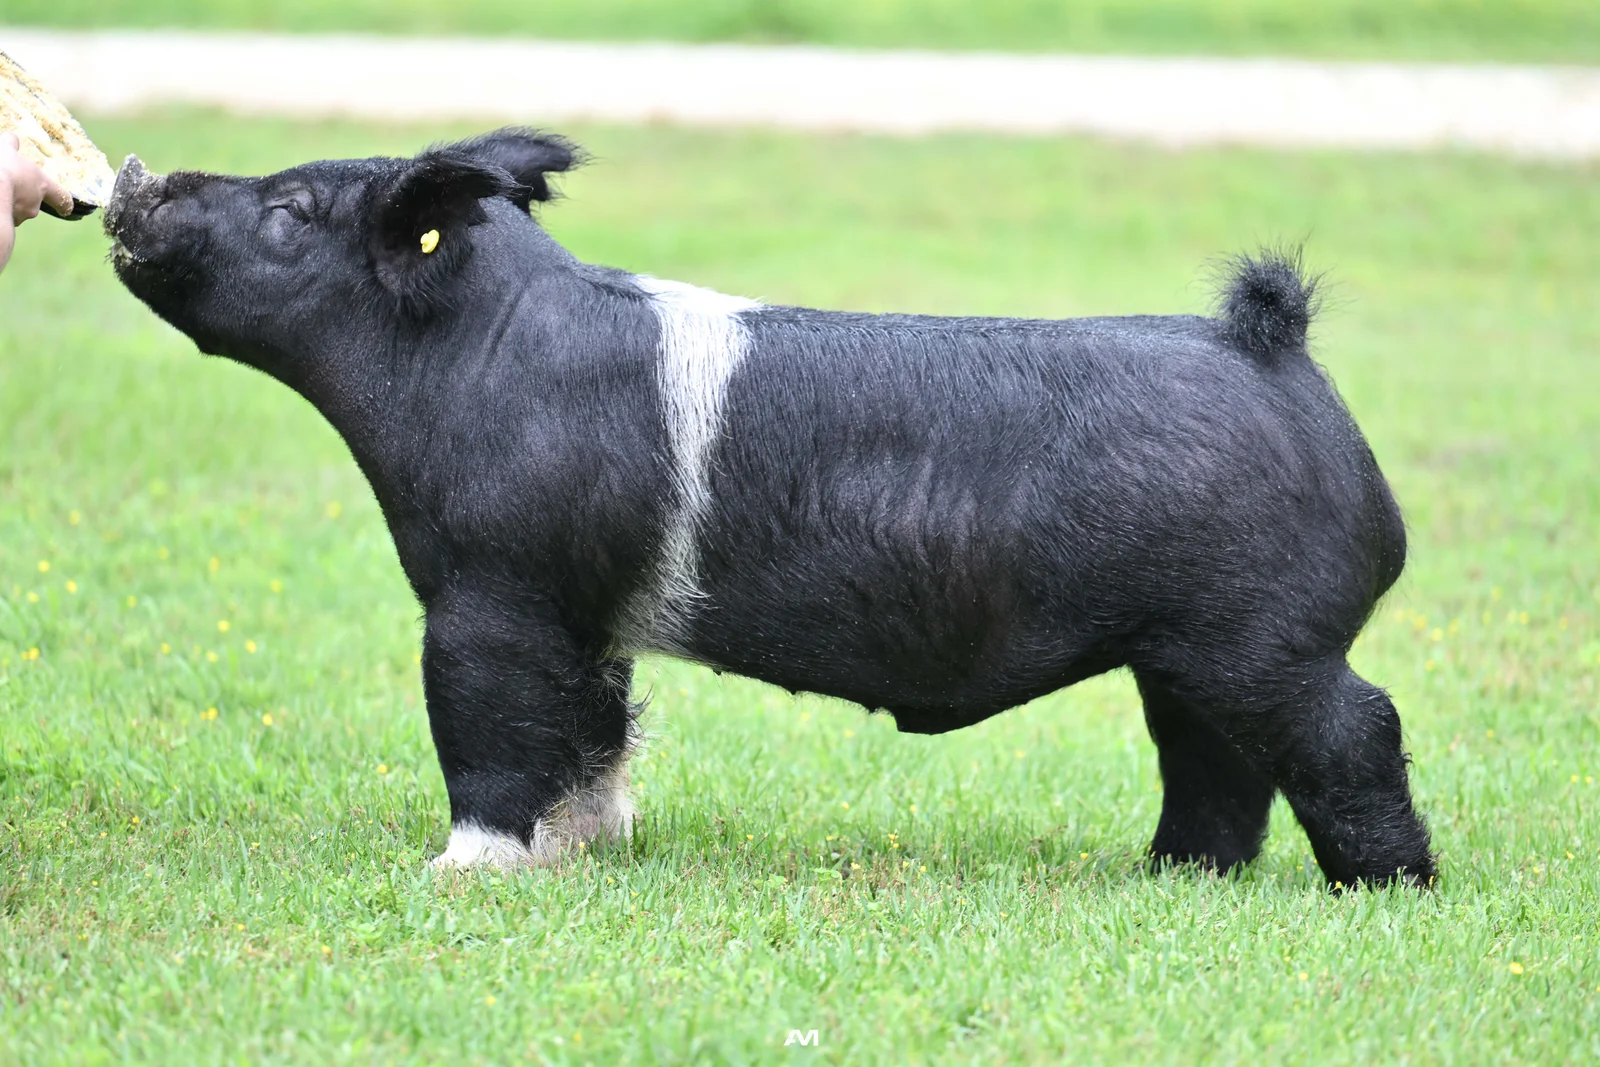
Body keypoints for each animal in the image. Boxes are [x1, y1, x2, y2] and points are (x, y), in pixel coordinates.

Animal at [104, 129, 1434, 886]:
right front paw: (589, 849)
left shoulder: (491, 592)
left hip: (1264, 636)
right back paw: (1170, 878)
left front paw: (460, 874)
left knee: (1352, 726)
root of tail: (1276, 348)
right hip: (1183, 653)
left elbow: (487, 727)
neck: (477, 357)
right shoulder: (586, 618)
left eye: (291, 211)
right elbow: (592, 728)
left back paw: (1387, 889)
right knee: (1211, 761)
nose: (137, 176)